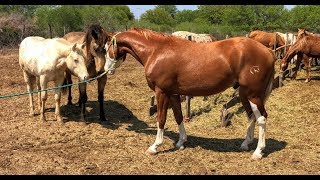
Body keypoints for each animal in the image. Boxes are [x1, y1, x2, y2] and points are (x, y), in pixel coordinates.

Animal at [104, 27, 276, 160]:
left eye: (106, 49)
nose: (106, 70)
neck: (156, 51)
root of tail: (267, 50)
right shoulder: (173, 94)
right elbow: (178, 116)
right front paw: (181, 142)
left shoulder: (161, 92)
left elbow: (161, 119)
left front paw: (155, 146)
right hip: (244, 93)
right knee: (251, 116)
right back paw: (246, 144)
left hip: (253, 94)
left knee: (262, 118)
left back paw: (258, 152)